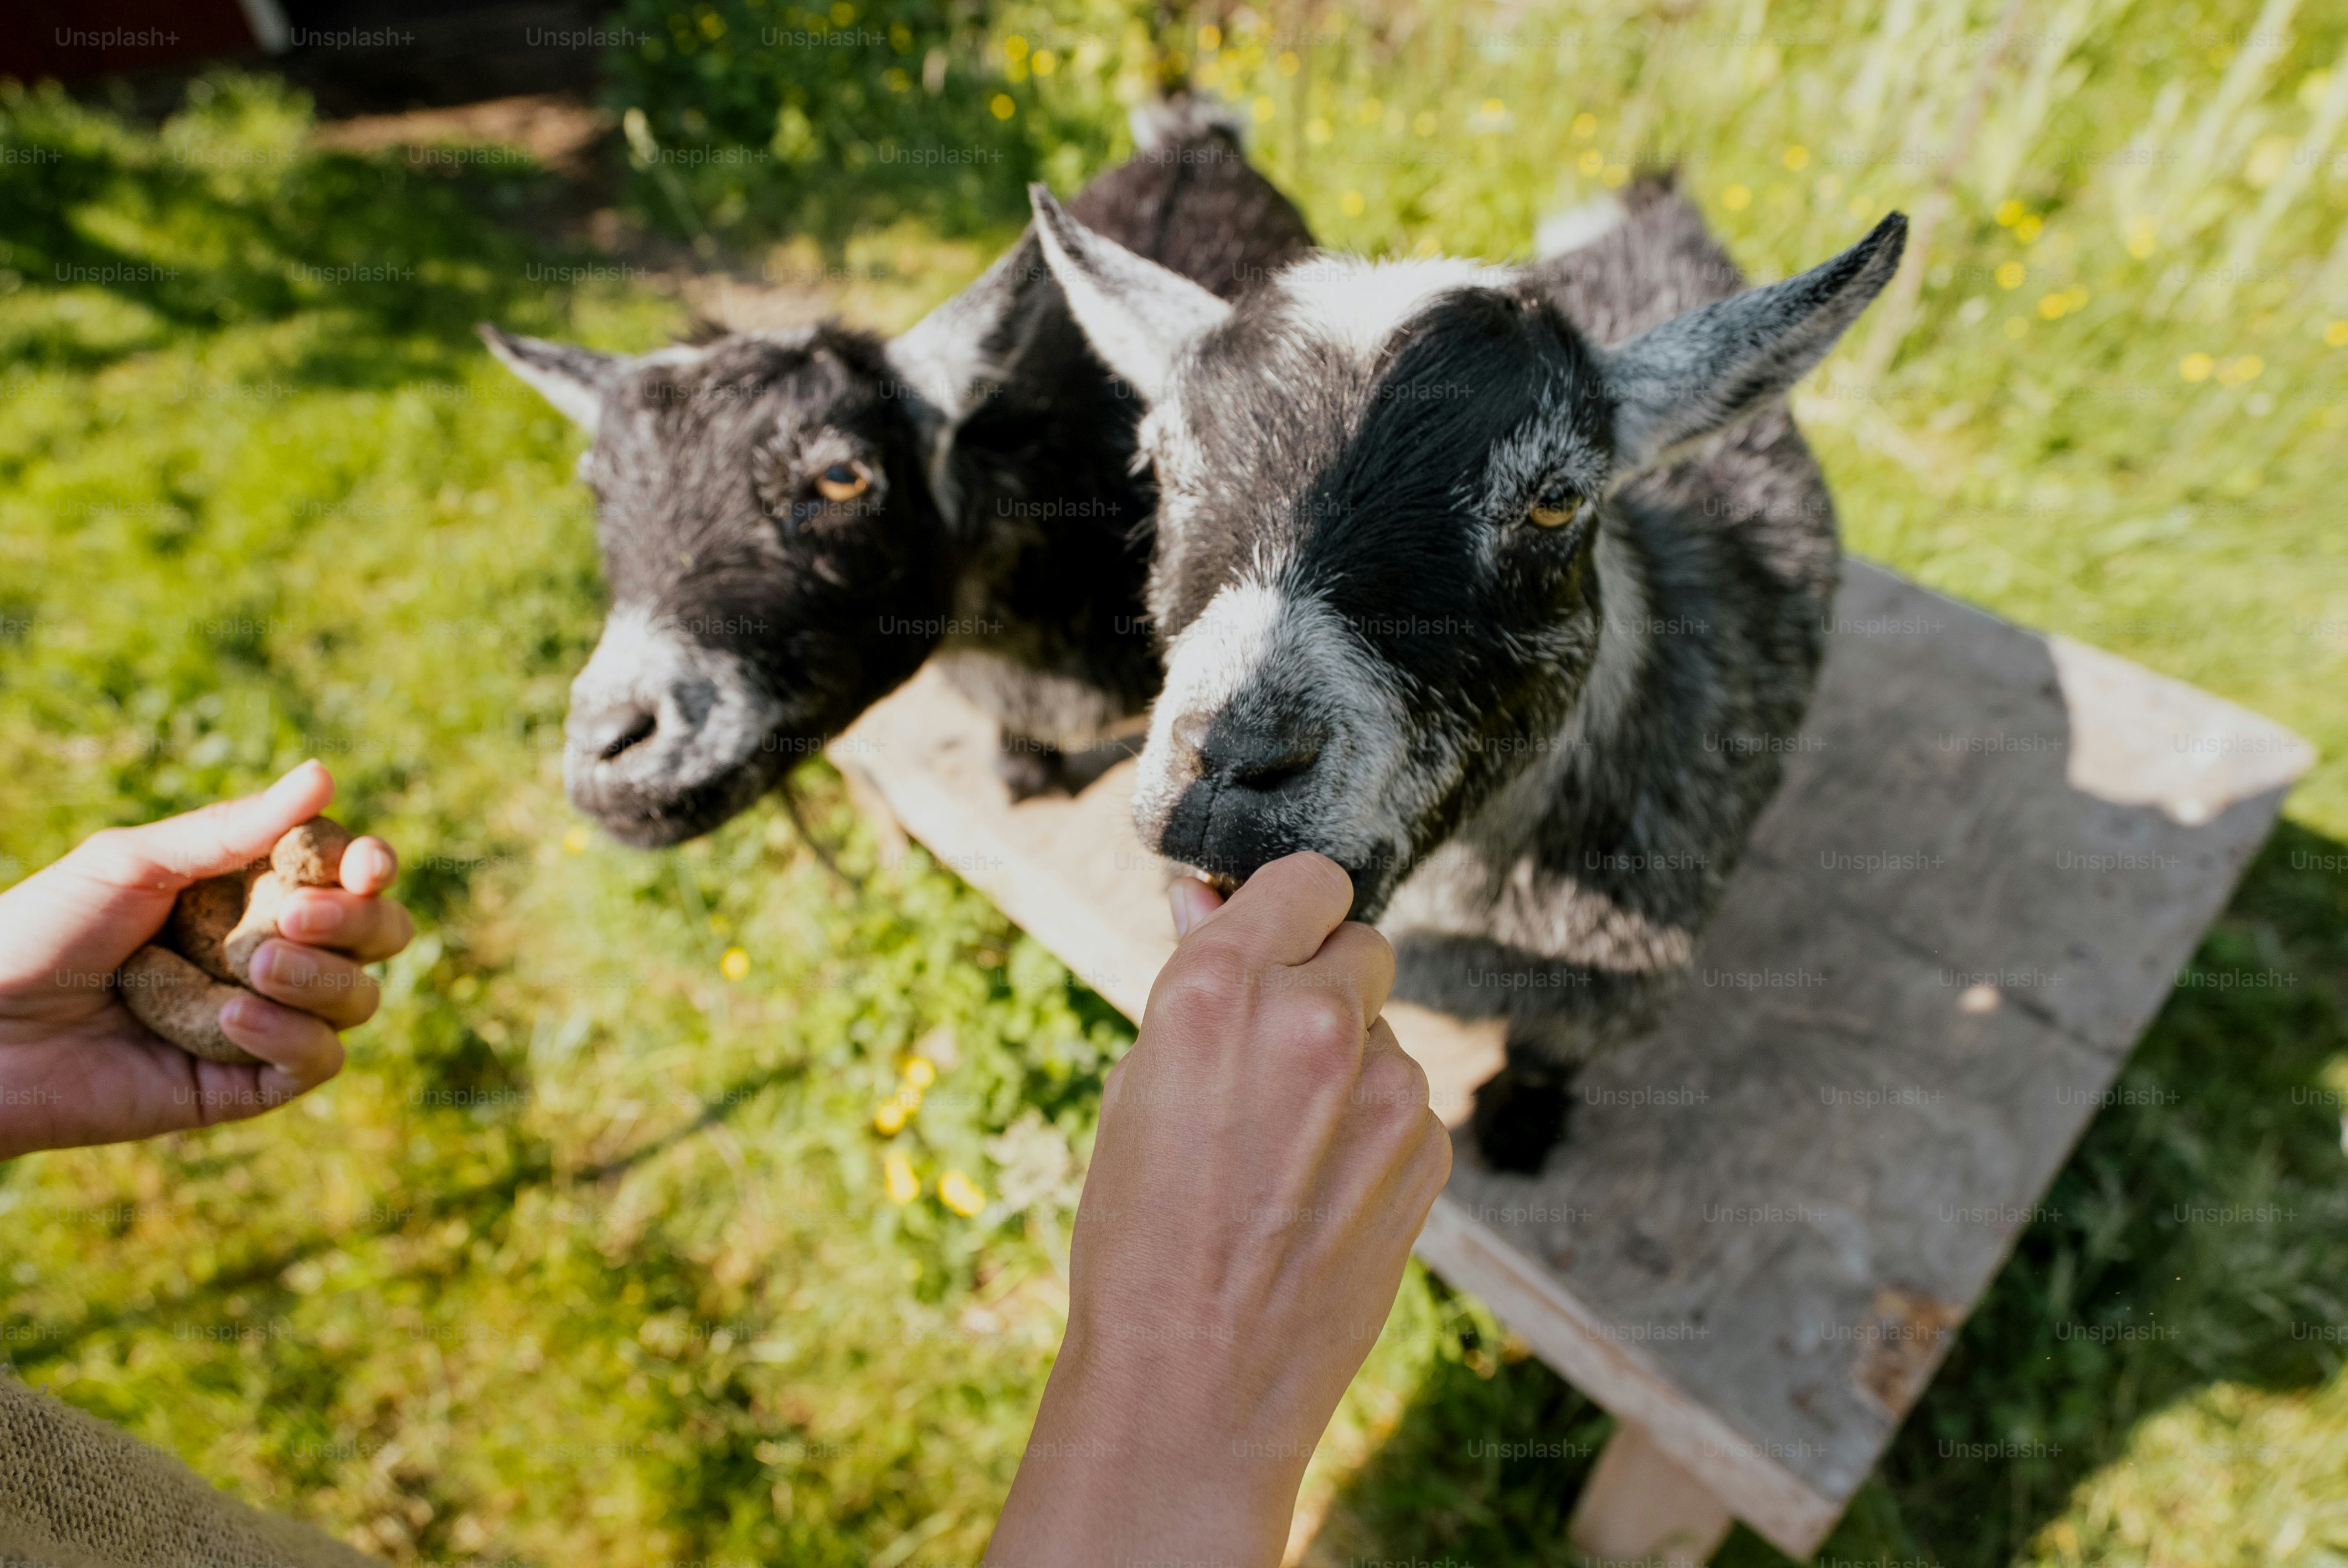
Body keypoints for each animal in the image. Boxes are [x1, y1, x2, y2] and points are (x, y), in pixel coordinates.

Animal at [1029, 175, 1905, 1171]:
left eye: (1557, 499)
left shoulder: (1611, 987)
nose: (1236, 762)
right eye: (1161, 463)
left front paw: (1521, 1127)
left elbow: (1545, 1055)